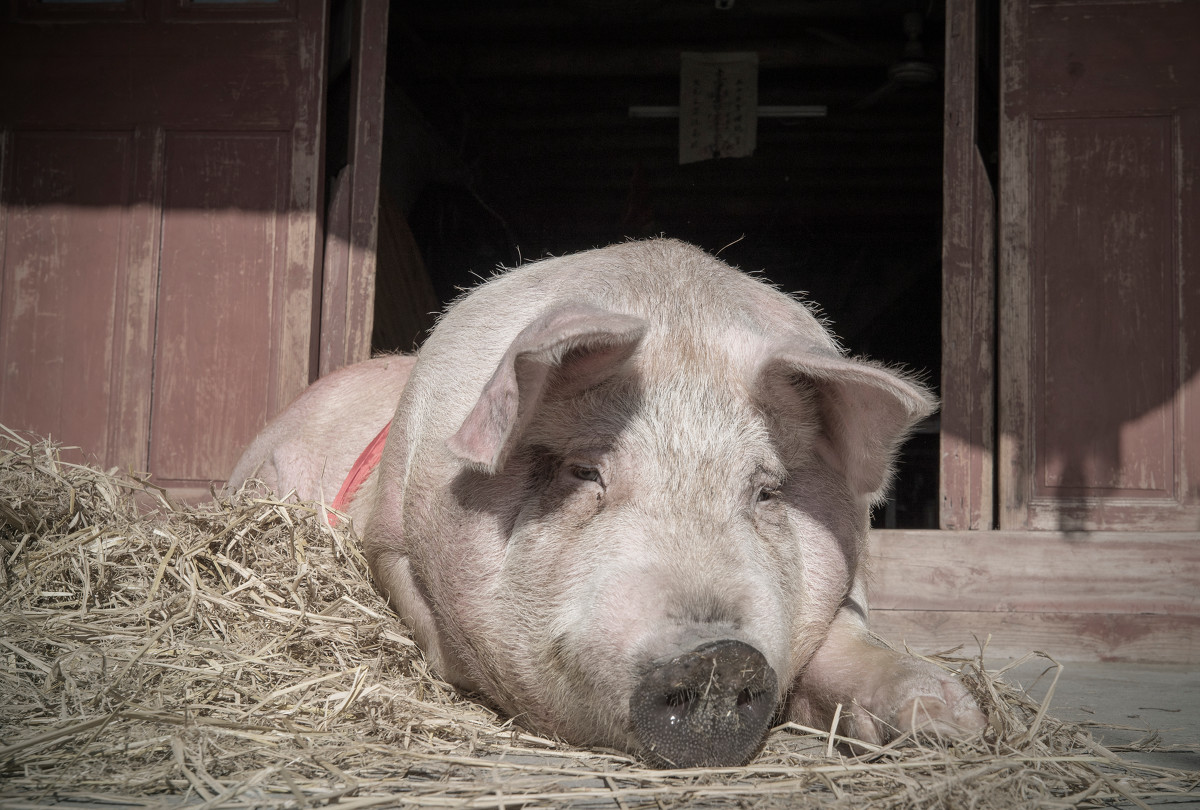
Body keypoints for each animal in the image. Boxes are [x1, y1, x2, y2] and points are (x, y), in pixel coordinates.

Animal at [231, 236, 984, 768]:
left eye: (767, 490)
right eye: (585, 472)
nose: (718, 658)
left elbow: (847, 640)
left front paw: (952, 721)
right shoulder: (389, 541)